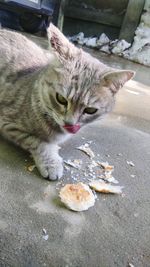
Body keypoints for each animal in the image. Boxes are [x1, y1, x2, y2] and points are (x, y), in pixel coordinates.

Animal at [0, 24, 134, 181]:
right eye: (61, 99)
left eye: (90, 110)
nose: (70, 123)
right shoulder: (8, 123)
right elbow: (38, 142)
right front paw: (51, 162)